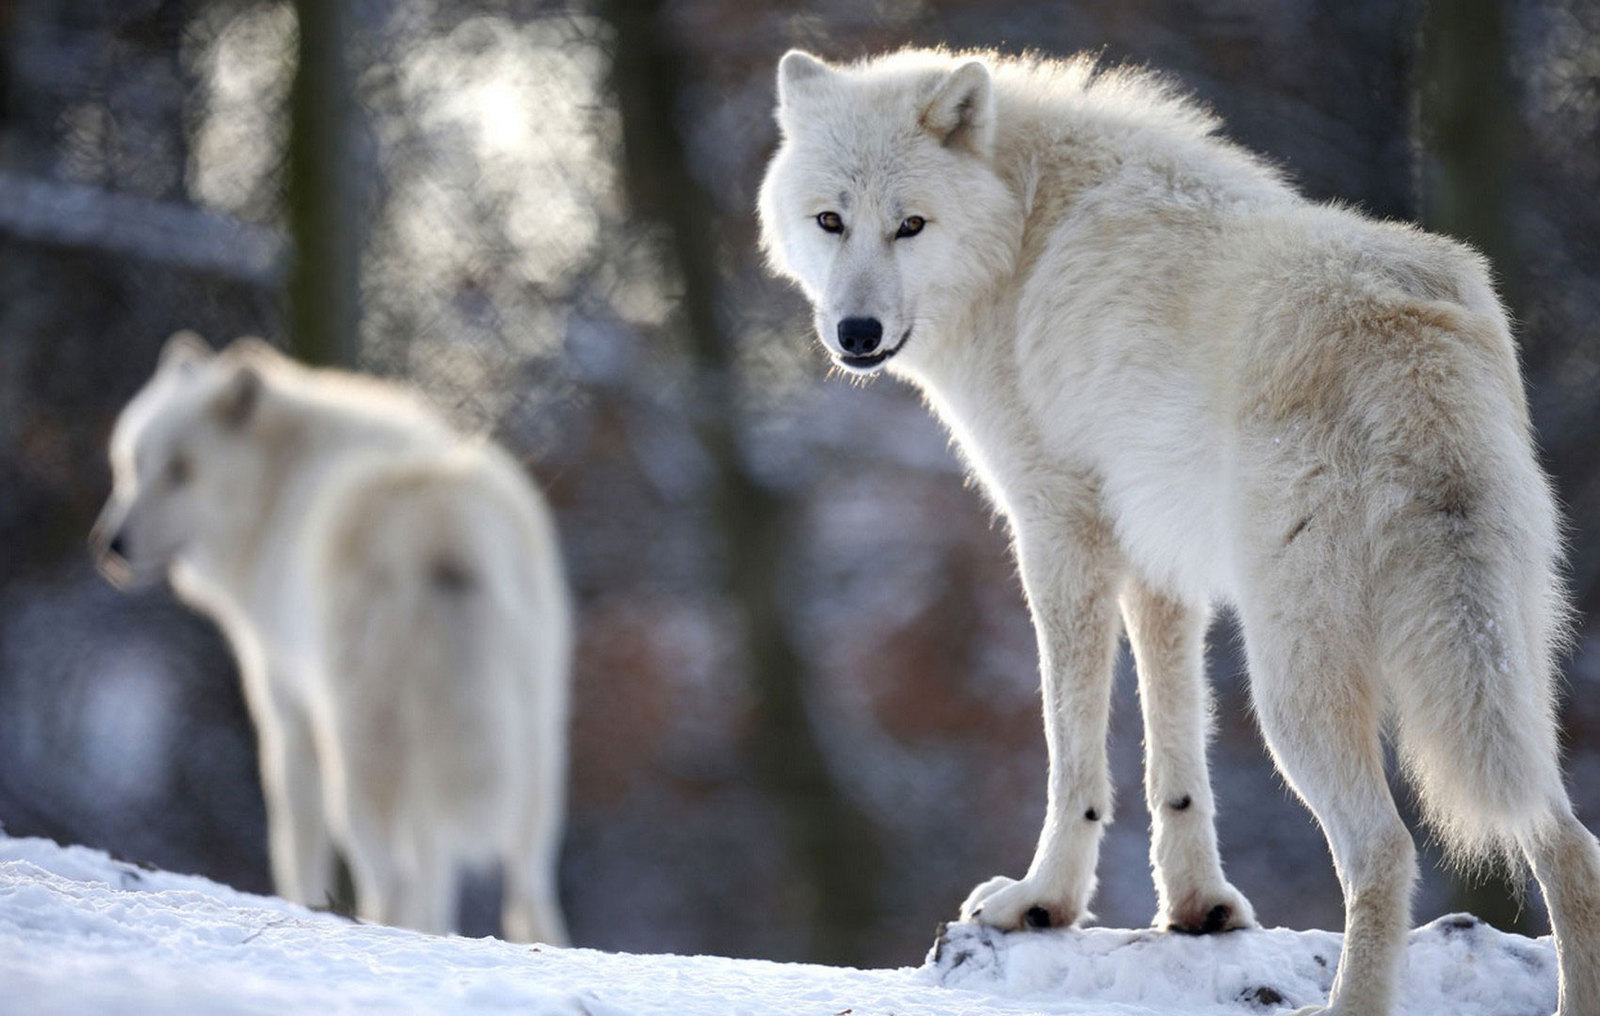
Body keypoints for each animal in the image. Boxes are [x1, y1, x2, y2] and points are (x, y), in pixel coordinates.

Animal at [90, 339, 572, 947]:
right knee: (528, 888)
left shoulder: (286, 713)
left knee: (393, 876)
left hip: (360, 755)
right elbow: (437, 872)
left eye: (181, 471)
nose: (111, 546)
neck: (276, 488)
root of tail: (438, 520)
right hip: (532, 752)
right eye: (132, 465)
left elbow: (295, 844)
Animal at [755, 45, 1600, 1011]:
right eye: (830, 220)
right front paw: (1200, 909)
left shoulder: (1058, 532)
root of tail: (1412, 343)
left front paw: (1042, 902)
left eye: (911, 226)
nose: (856, 332)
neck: (1023, 232)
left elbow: (1072, 749)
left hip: (1295, 688)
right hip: (1499, 667)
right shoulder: (1160, 561)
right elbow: (1176, 750)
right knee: (1569, 843)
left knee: (1384, 851)